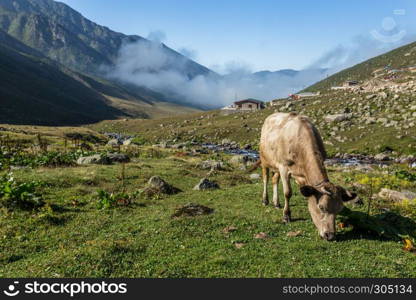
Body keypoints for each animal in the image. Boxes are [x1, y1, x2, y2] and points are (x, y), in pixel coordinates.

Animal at [260, 111, 354, 240]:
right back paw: (265, 200)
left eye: (339, 209)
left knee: (275, 180)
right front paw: (286, 216)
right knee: (266, 179)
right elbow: (288, 192)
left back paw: (276, 203)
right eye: (321, 207)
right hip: (264, 159)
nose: (330, 235)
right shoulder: (284, 167)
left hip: (276, 165)